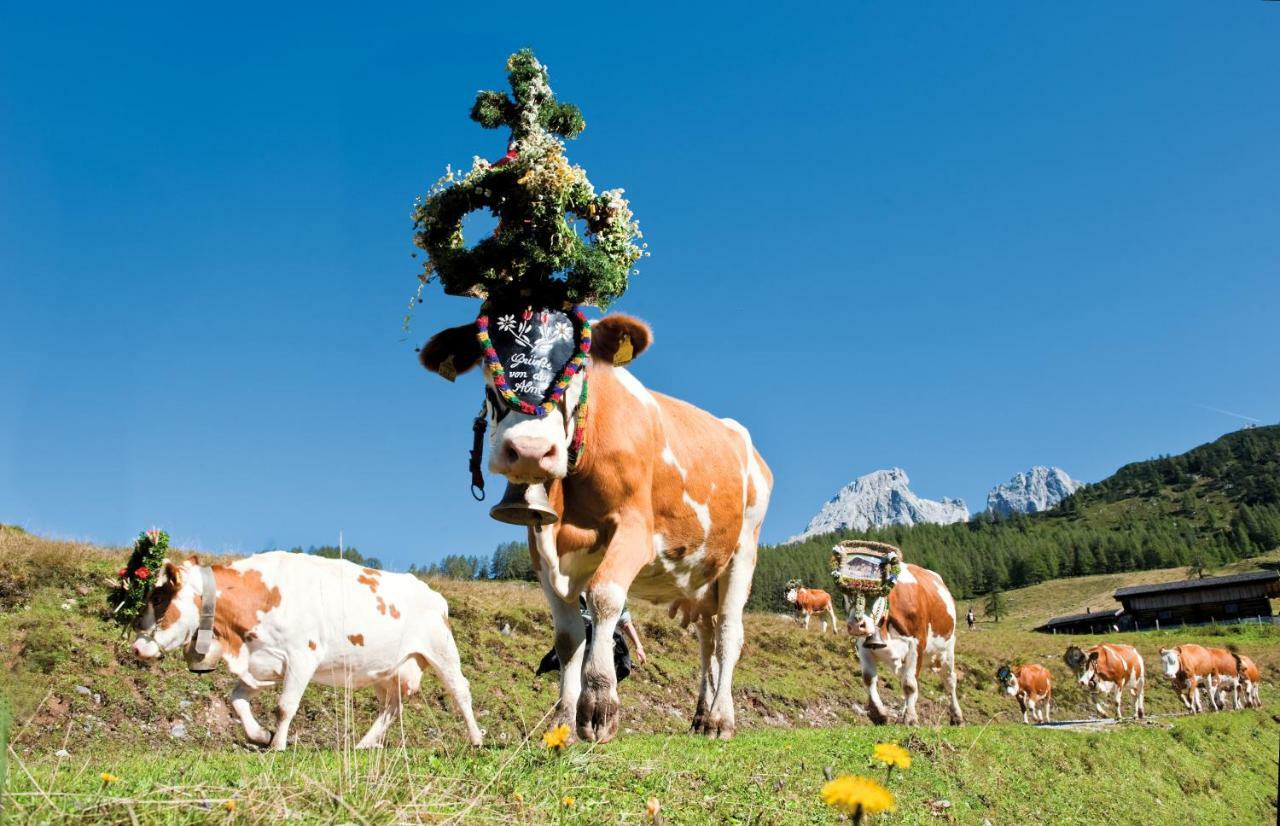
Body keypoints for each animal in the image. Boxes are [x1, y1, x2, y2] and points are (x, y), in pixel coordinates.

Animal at [424, 316, 773, 742]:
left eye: (574, 370)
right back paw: (701, 718)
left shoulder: (635, 530)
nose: (529, 450)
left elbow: (605, 598)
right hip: (704, 577)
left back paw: (721, 719)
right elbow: (568, 636)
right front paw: (562, 722)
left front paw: (599, 706)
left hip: (743, 549)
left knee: (728, 635)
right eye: (488, 373)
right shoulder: (541, 549)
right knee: (707, 638)